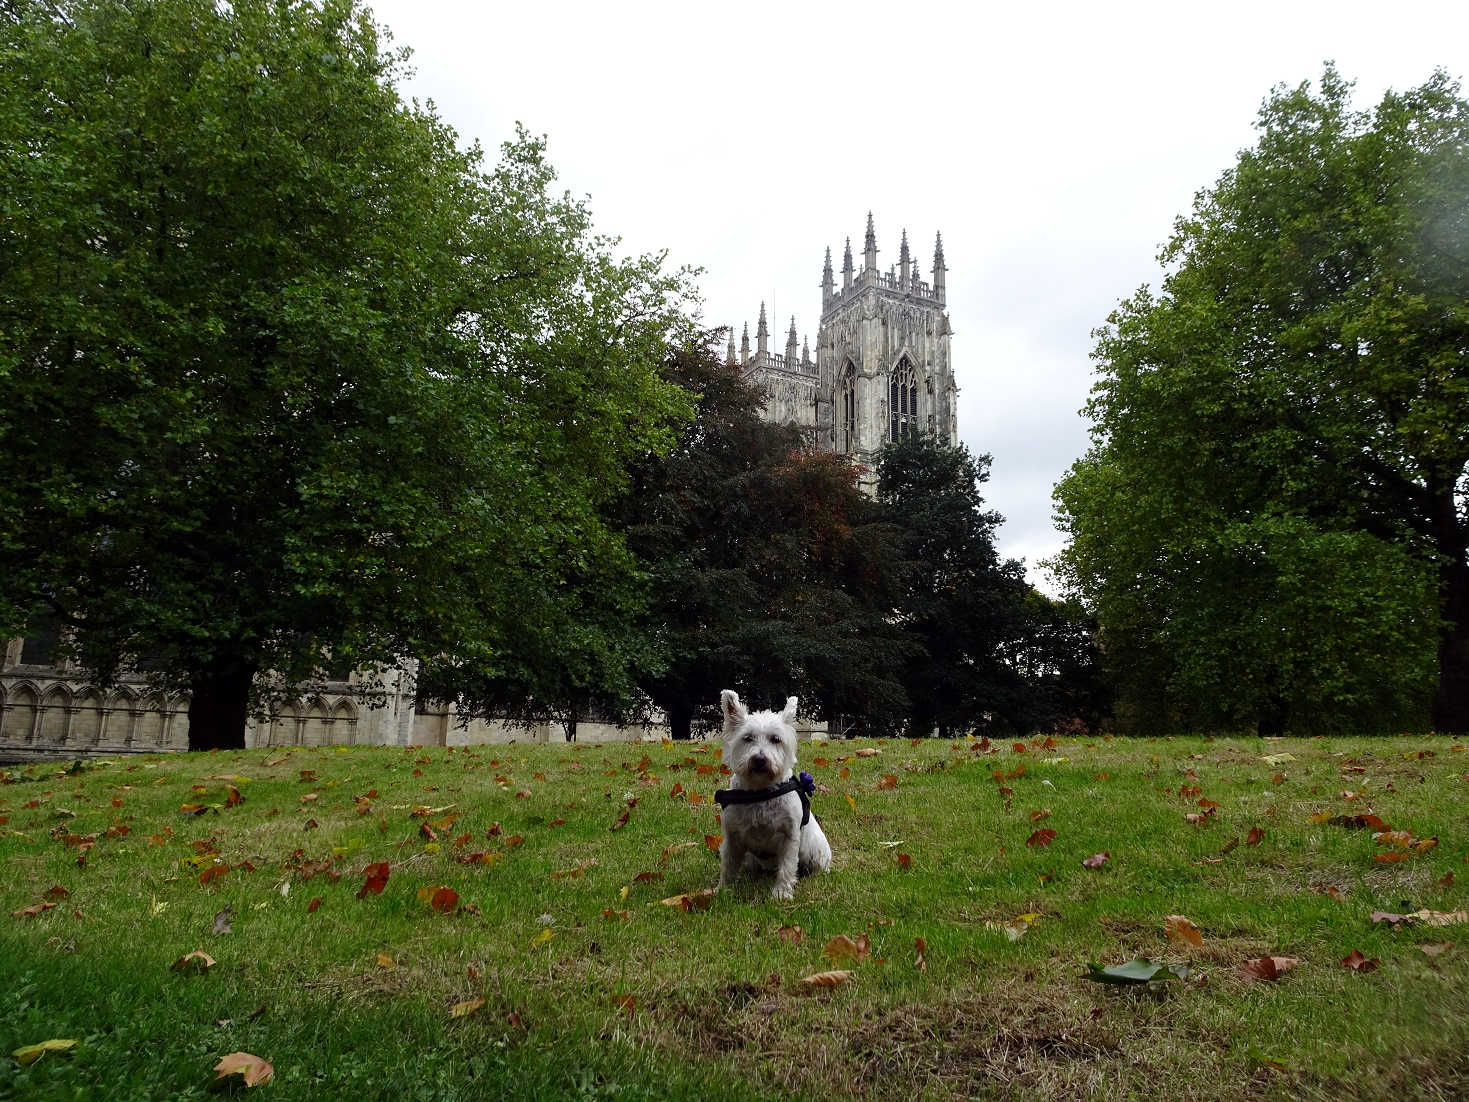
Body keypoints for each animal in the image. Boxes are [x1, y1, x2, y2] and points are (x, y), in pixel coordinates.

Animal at [713, 693, 834, 899]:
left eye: (776, 739)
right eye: (747, 738)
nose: (760, 759)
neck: (759, 791)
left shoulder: (789, 835)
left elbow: (787, 866)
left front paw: (781, 893)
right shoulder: (733, 835)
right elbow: (728, 864)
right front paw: (722, 890)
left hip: (815, 853)